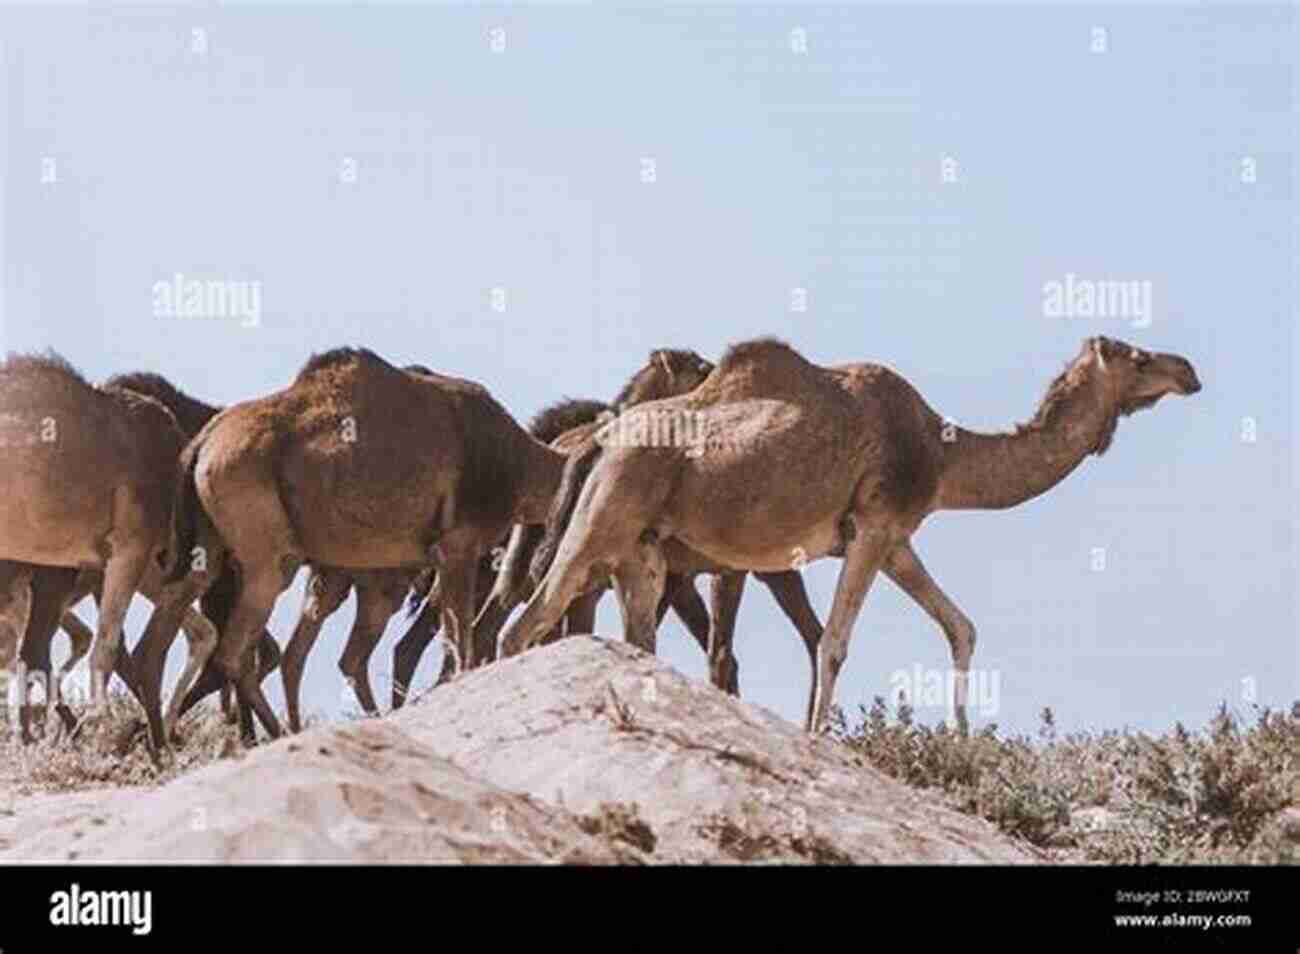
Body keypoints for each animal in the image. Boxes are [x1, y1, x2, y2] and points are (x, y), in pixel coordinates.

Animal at [146, 348, 574, 743]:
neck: (520, 466)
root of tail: (203, 443)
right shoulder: (459, 546)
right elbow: (459, 640)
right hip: (266, 552)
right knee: (240, 651)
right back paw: (282, 733)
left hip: (210, 547)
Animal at [501, 335, 1201, 733]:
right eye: (1139, 356)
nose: (1190, 370)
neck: (943, 453)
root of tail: (598, 441)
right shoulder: (875, 524)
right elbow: (834, 642)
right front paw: (819, 737)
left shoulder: (896, 538)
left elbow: (960, 626)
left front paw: (964, 738)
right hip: (607, 512)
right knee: (528, 619)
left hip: (640, 548)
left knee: (631, 635)